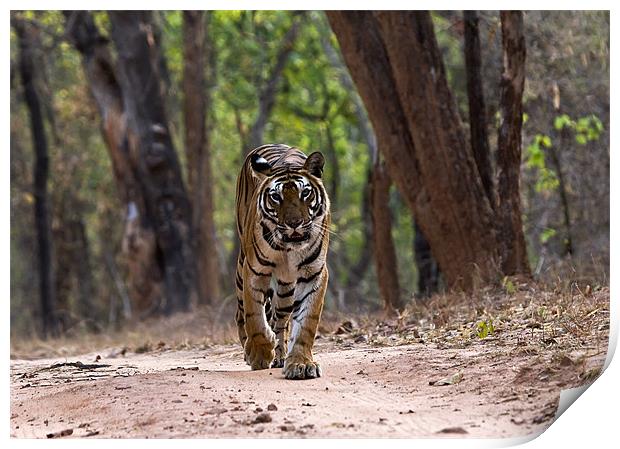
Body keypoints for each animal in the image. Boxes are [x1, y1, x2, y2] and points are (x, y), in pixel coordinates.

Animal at [234, 143, 332, 378]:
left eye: (305, 193)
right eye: (276, 197)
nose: (294, 223)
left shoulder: (315, 273)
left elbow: (306, 324)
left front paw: (301, 363)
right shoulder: (254, 272)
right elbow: (255, 318)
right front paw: (259, 354)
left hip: (286, 287)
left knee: (280, 320)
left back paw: (280, 356)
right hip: (242, 269)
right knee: (241, 313)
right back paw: (250, 350)